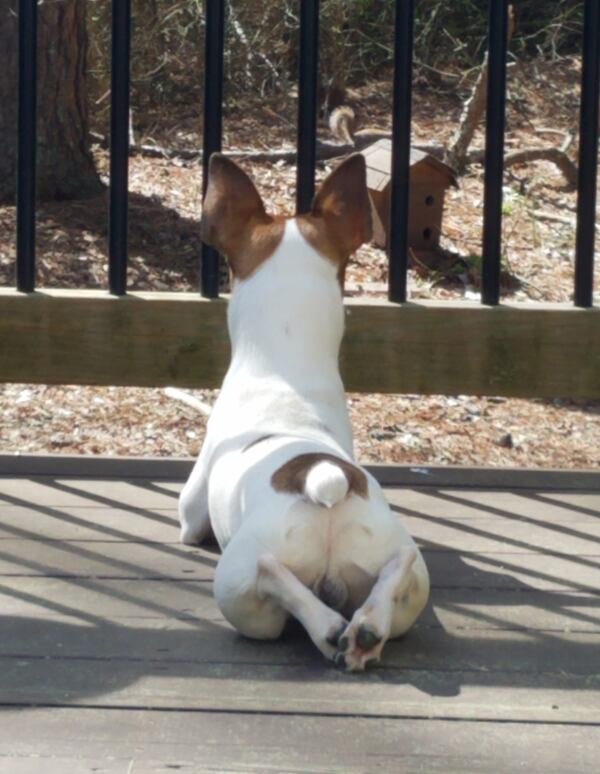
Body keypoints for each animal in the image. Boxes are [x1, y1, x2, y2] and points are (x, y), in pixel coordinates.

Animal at [180, 153, 428, 672]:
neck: (284, 370)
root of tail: (322, 479)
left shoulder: (191, 510)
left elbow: (190, 522)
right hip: (402, 574)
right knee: (398, 573)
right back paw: (365, 631)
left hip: (239, 590)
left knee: (272, 584)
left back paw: (327, 626)